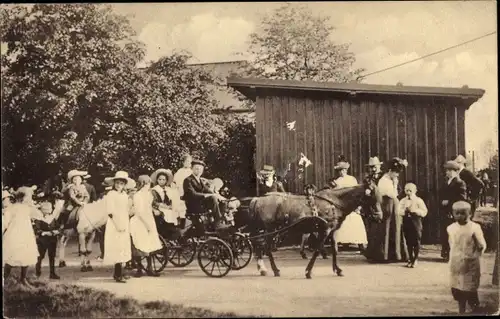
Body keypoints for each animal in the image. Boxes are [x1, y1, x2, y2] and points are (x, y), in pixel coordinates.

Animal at [235, 182, 382, 280]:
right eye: (372, 197)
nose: (379, 217)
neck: (334, 203)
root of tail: (258, 199)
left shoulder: (332, 231)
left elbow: (334, 250)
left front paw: (338, 269)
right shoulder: (325, 230)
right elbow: (317, 249)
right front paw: (308, 272)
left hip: (262, 228)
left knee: (257, 244)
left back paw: (262, 268)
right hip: (270, 228)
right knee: (266, 247)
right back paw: (275, 270)